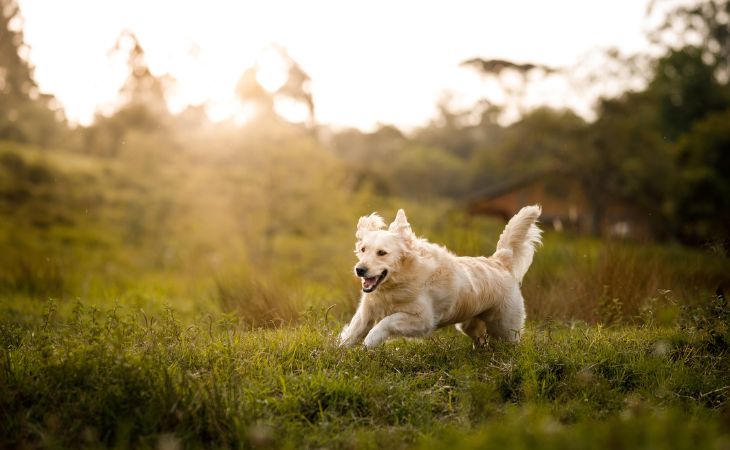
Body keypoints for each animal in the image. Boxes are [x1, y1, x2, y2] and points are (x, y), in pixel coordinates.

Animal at [336, 205, 540, 348]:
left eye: (382, 253)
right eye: (363, 249)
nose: (360, 269)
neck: (399, 282)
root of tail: (500, 260)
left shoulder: (422, 319)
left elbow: (387, 321)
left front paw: (370, 340)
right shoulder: (366, 311)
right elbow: (352, 332)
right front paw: (339, 351)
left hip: (505, 327)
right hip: (469, 324)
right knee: (480, 338)